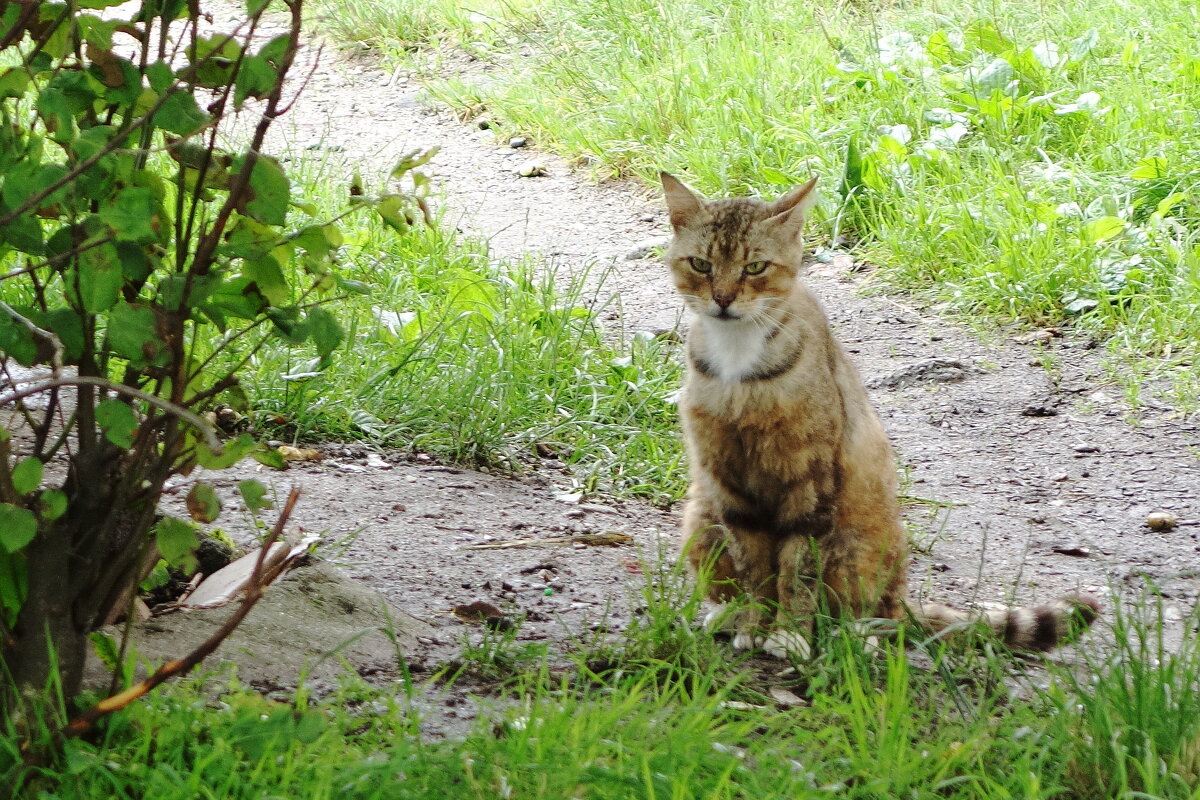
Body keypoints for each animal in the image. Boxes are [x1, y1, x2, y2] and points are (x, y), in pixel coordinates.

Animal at [662, 173, 1099, 657]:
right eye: (701, 264)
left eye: (755, 267)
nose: (722, 299)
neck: (738, 362)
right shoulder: (727, 483)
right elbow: (755, 567)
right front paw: (758, 623)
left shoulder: (811, 481)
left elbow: (797, 568)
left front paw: (789, 633)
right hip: (701, 519)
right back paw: (730, 614)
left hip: (858, 540)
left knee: (875, 611)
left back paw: (857, 633)